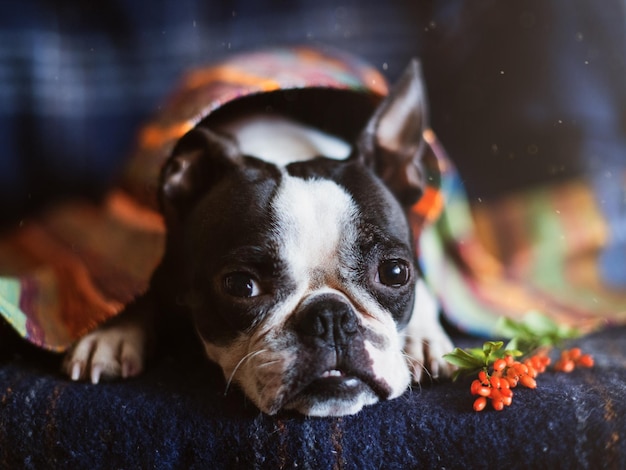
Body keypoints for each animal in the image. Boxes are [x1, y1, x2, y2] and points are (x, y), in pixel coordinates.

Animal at [64, 58, 454, 414]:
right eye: (241, 285)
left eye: (395, 273)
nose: (330, 317)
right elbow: (134, 285)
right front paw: (110, 333)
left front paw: (425, 339)